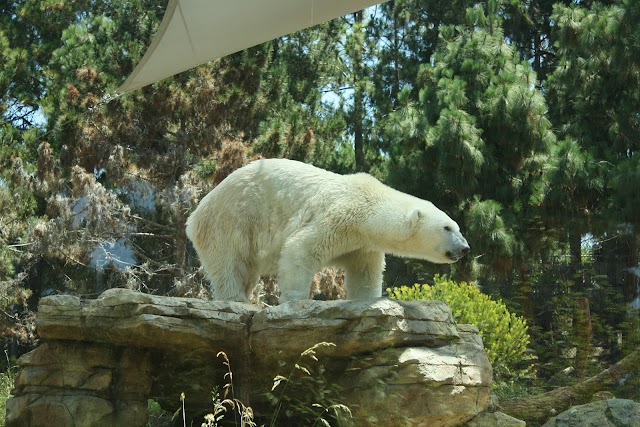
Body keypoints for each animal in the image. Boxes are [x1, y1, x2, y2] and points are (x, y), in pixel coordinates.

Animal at [185, 159, 470, 302]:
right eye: (447, 227)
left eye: (457, 226)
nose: (465, 248)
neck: (367, 206)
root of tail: (194, 217)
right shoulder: (337, 217)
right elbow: (299, 249)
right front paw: (297, 301)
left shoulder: (362, 244)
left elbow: (364, 273)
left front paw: (365, 299)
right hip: (232, 221)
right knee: (229, 263)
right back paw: (235, 299)